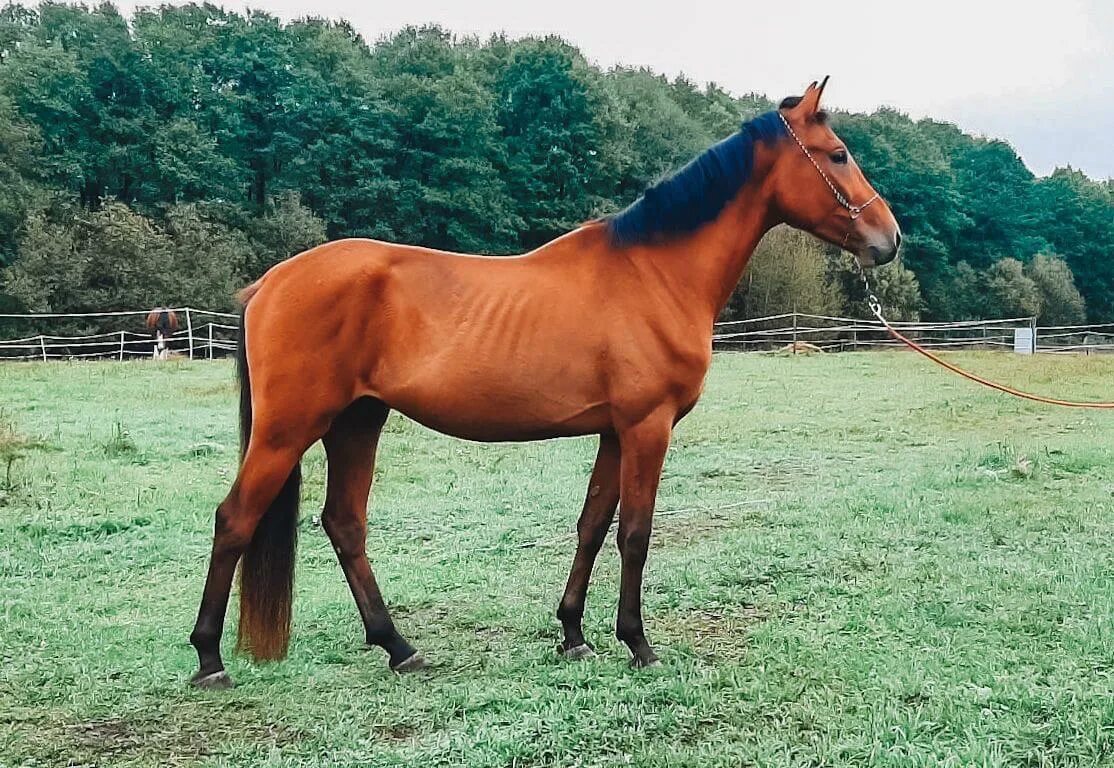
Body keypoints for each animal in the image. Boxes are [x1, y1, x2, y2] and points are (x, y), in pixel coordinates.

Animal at [189, 79, 904, 691]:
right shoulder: (647, 426)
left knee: (344, 523)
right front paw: (638, 643)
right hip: (288, 430)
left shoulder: (616, 432)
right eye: (838, 155)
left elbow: (592, 525)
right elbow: (635, 532)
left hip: (357, 421)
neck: (654, 272)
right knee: (234, 520)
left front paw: (573, 635)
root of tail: (268, 284)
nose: (889, 239)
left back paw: (399, 647)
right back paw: (209, 658)